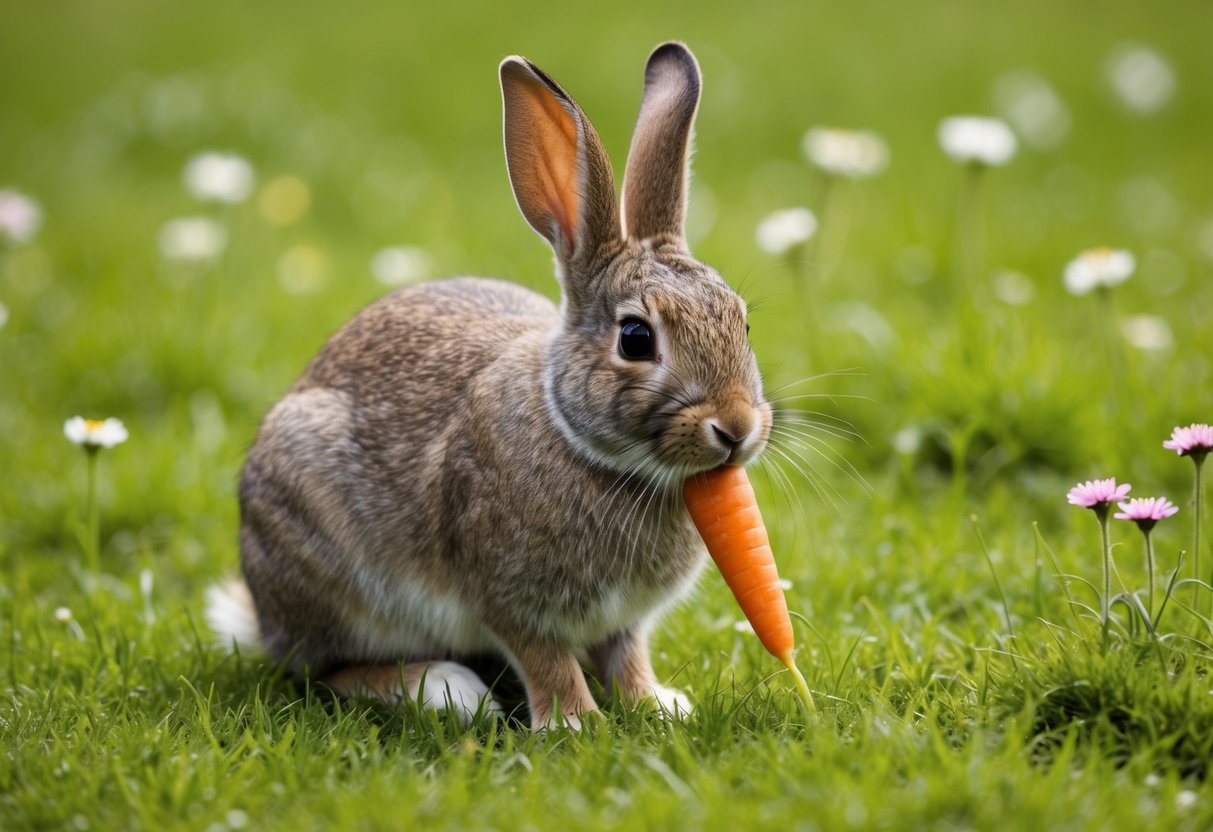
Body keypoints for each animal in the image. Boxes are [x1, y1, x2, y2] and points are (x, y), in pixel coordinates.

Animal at [206, 41, 772, 730]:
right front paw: (576, 724)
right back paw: (446, 689)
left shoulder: (623, 621)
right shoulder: (506, 595)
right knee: (328, 670)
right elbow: (546, 659)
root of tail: (262, 617)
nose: (737, 427)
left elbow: (627, 654)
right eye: (636, 339)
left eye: (743, 321)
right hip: (331, 564)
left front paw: (658, 706)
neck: (596, 453)